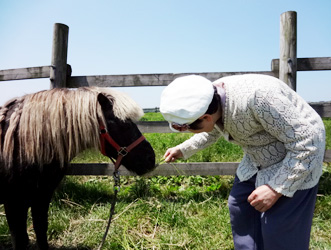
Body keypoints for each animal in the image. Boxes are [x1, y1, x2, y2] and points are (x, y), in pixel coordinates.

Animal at [0, 85, 156, 248]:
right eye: (124, 124)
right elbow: (20, 239)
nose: (151, 158)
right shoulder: (13, 204)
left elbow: (41, 230)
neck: (21, 146)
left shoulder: (41, 198)